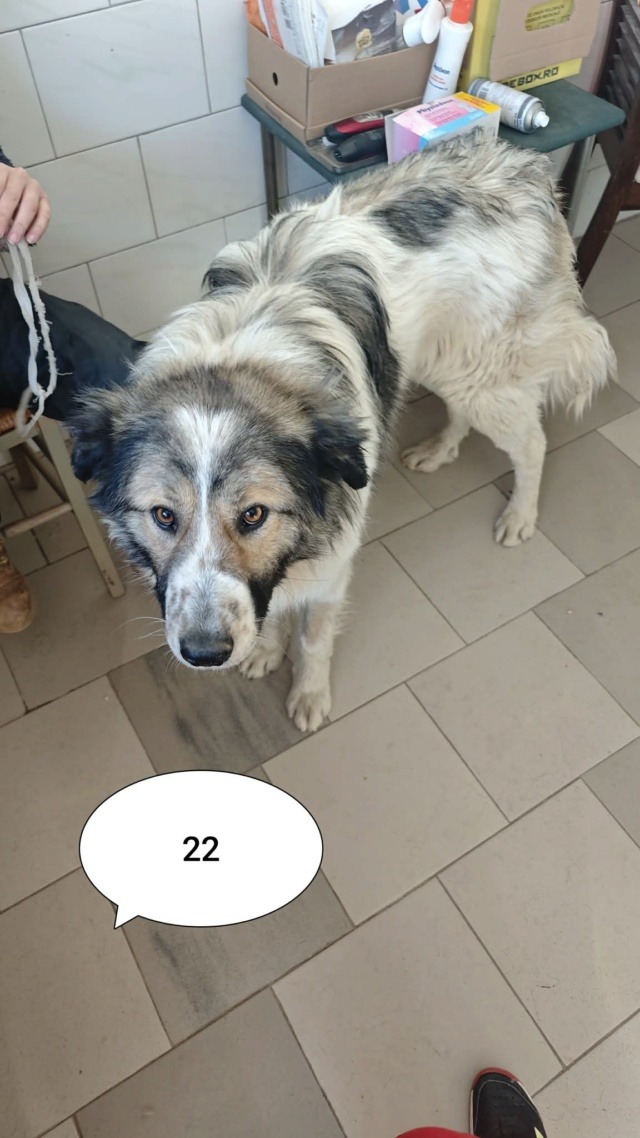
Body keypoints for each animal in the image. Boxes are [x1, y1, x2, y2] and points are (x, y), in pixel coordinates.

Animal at [71, 133, 615, 731]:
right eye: (164, 516)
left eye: (253, 515)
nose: (205, 653)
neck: (241, 359)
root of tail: (525, 166)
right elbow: (274, 615)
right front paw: (266, 651)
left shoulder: (331, 569)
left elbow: (312, 639)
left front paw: (309, 695)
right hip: (444, 360)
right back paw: (439, 451)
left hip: (480, 372)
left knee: (533, 441)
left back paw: (520, 516)